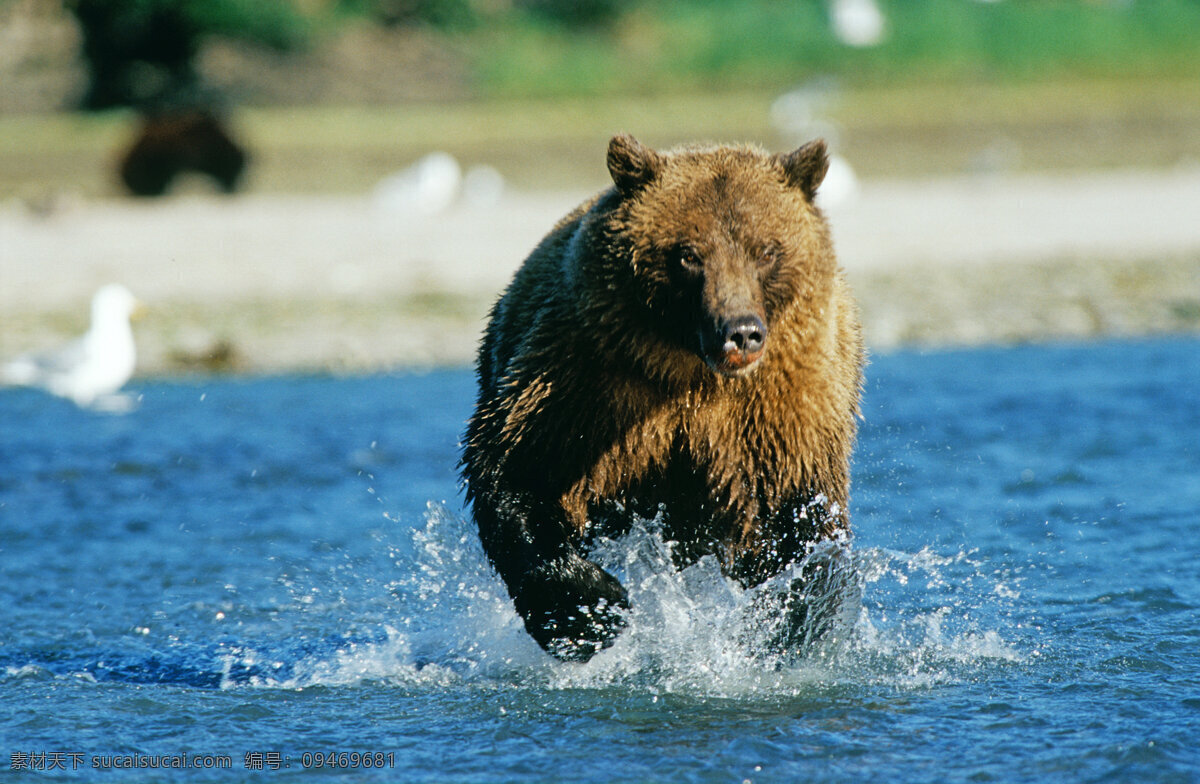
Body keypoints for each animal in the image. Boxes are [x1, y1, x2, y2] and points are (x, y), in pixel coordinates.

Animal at [458, 134, 864, 662]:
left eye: (765, 250)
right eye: (688, 254)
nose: (740, 332)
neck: (690, 370)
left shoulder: (782, 413)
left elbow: (801, 522)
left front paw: (789, 624)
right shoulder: (582, 382)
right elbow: (517, 473)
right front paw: (591, 612)